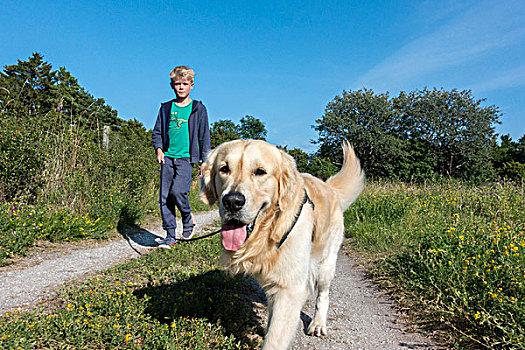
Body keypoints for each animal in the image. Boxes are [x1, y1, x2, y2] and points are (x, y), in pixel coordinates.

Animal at [199, 139, 362, 348]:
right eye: (224, 169)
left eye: (260, 171)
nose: (232, 202)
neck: (267, 232)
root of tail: (328, 187)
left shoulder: (289, 289)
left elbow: (275, 339)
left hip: (326, 263)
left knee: (323, 295)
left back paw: (318, 324)